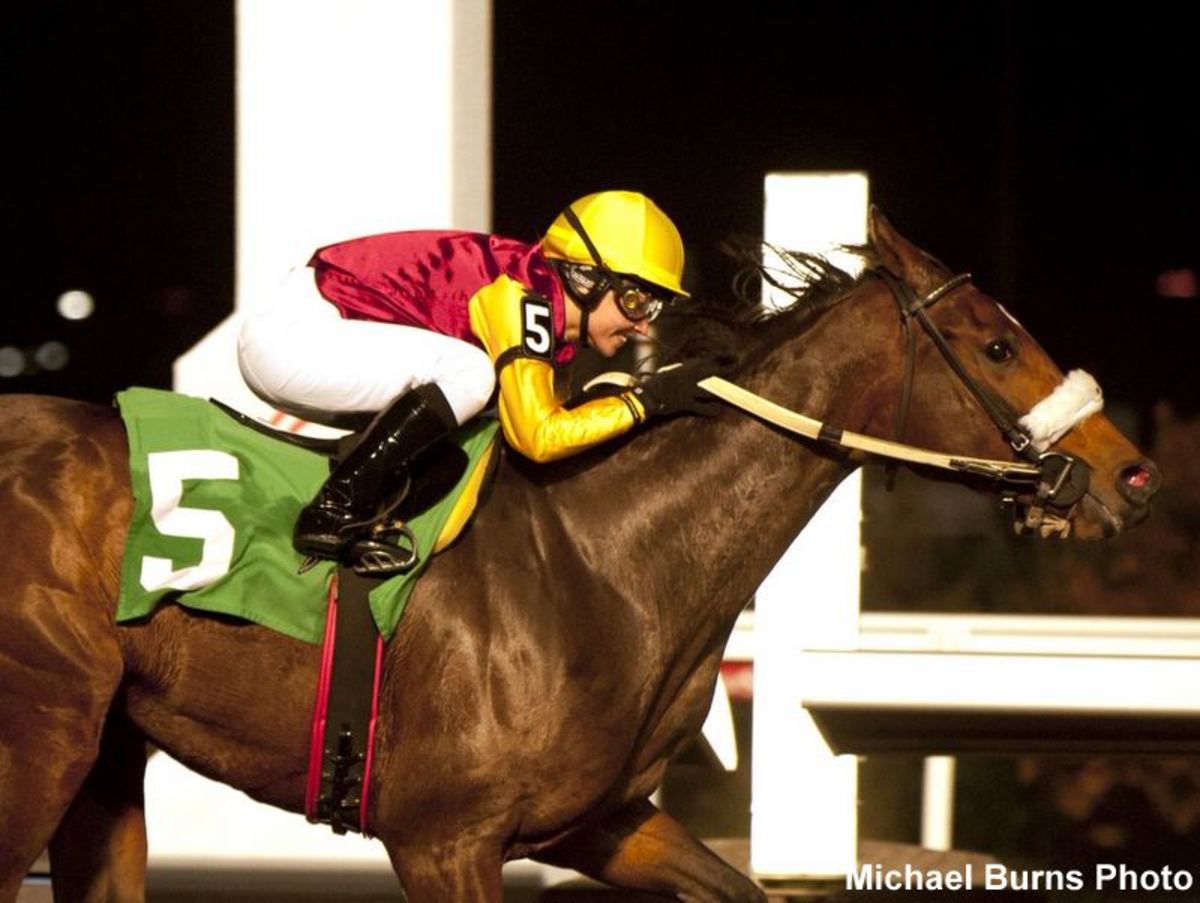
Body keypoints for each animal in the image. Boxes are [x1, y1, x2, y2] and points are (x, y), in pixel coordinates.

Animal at [2, 207, 1161, 898]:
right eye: (998, 345)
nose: (1134, 476)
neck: (605, 564)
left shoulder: (601, 822)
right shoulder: (443, 839)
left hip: (106, 758)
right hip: (45, 730)